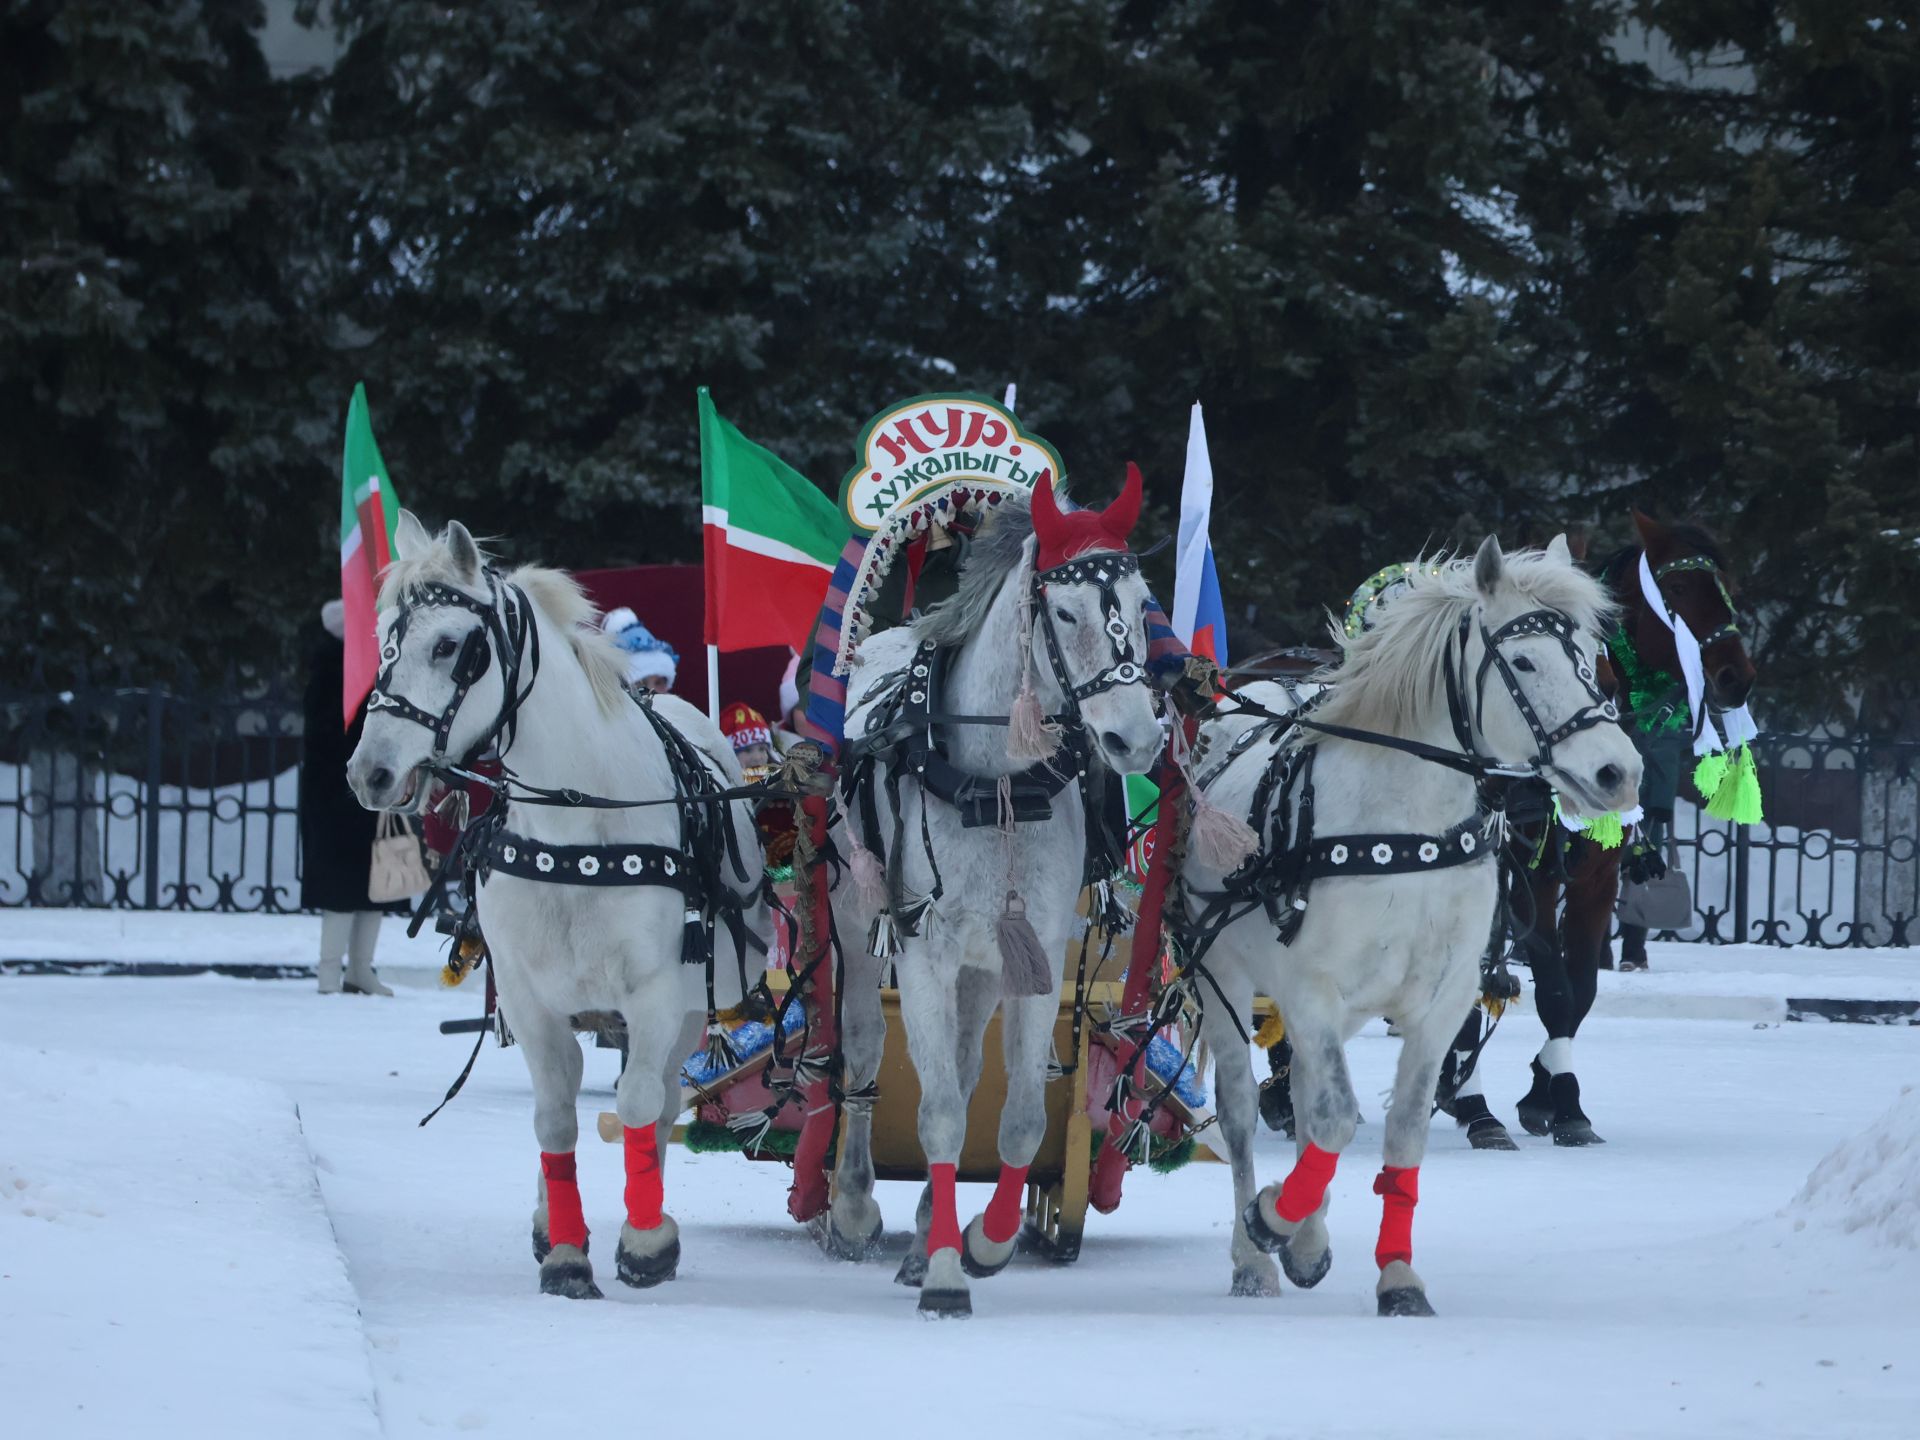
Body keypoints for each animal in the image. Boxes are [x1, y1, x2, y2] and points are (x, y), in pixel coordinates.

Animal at [345, 522, 764, 1305]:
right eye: (382, 639)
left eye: (451, 646)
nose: (370, 772)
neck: (576, 825)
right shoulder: (527, 996)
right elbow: (553, 1118)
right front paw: (566, 1251)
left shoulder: (659, 996)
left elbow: (638, 1105)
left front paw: (646, 1240)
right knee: (569, 1092)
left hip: (693, 1008)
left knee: (661, 1098)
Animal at [817, 474, 1159, 1320]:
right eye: (1064, 613)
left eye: (1143, 605)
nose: (1137, 739)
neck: (995, 783)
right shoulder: (924, 951)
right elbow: (938, 1113)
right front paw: (945, 1276)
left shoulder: (1030, 953)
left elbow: (1018, 1120)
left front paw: (980, 1241)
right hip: (857, 918)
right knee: (867, 1046)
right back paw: (855, 1207)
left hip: (979, 966)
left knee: (969, 1067)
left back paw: (919, 1234)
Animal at [1182, 537, 1635, 1320]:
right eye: (1523, 662)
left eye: (1591, 659)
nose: (1618, 771)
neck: (1407, 826)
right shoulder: (1311, 990)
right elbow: (1333, 1120)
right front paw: (1270, 1220)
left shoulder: (1440, 999)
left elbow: (1402, 1133)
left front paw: (1395, 1275)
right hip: (1224, 982)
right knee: (1242, 1109)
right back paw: (1255, 1257)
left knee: (1302, 1098)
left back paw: (1307, 1236)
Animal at [1451, 506, 1758, 1152]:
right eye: (1678, 587)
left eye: (1726, 586)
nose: (1736, 676)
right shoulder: (1534, 877)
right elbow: (1553, 984)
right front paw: (1549, 1101)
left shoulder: (1599, 874)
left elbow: (1581, 988)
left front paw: (1552, 1094)